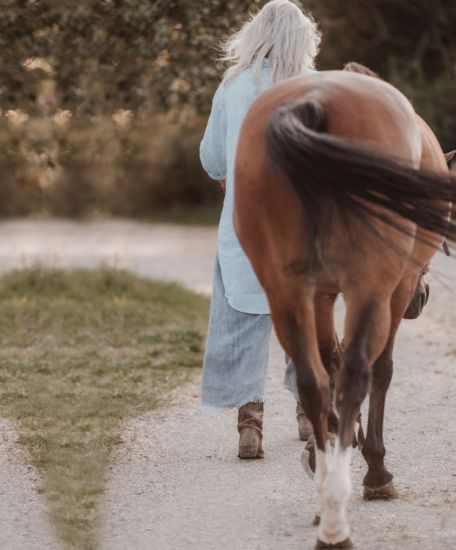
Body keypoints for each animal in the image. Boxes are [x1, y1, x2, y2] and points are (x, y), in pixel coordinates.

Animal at [233, 71, 454, 548]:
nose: (422, 300)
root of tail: (314, 103)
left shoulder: (319, 295)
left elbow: (328, 363)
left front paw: (327, 452)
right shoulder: (392, 289)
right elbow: (380, 370)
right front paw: (374, 469)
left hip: (285, 292)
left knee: (314, 381)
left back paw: (327, 493)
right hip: (371, 287)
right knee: (357, 375)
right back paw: (340, 517)